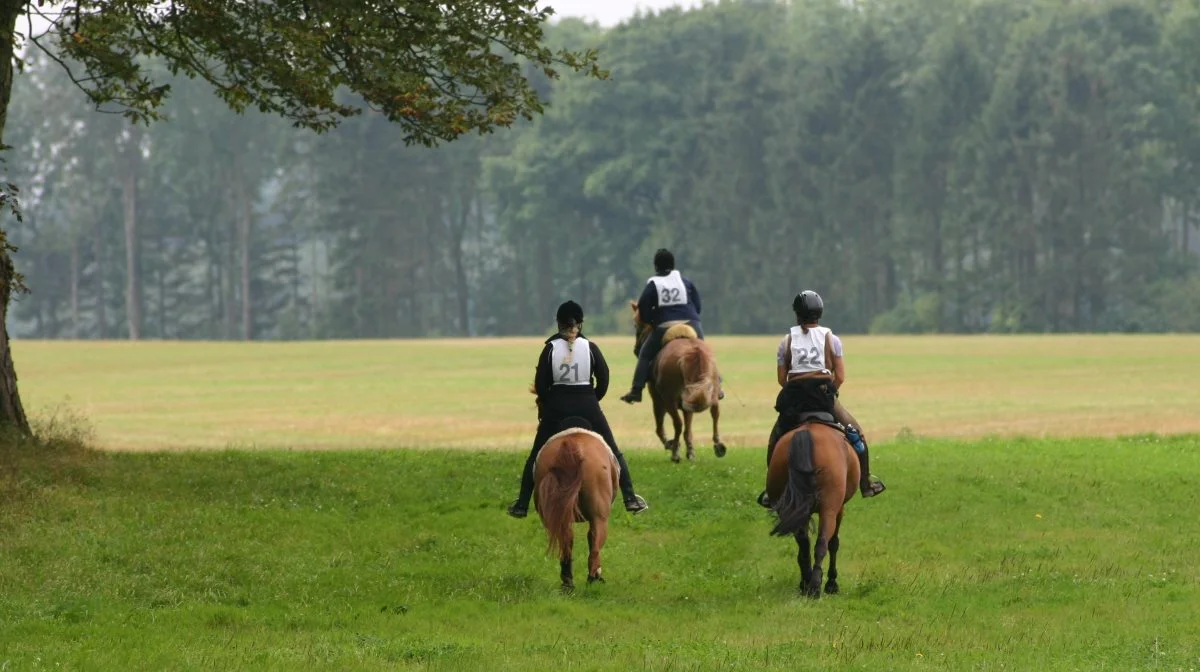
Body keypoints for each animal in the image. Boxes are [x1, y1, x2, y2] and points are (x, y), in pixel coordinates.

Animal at [532, 417, 619, 595]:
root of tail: (573, 444)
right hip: (600, 517)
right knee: (594, 545)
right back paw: (593, 579)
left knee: (567, 540)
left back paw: (568, 582)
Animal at [633, 303, 724, 465]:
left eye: (637, 325)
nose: (636, 350)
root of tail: (693, 352)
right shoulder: (688, 401)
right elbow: (688, 428)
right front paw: (690, 452)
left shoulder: (657, 398)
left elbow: (660, 426)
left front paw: (670, 445)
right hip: (706, 392)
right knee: (715, 412)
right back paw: (718, 445)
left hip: (668, 399)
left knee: (677, 423)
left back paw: (675, 452)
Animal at [768, 420, 864, 597]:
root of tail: (806, 433)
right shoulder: (839, 508)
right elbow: (834, 543)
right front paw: (832, 583)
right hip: (829, 508)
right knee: (823, 542)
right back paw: (816, 586)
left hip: (792, 507)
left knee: (804, 543)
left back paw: (807, 582)